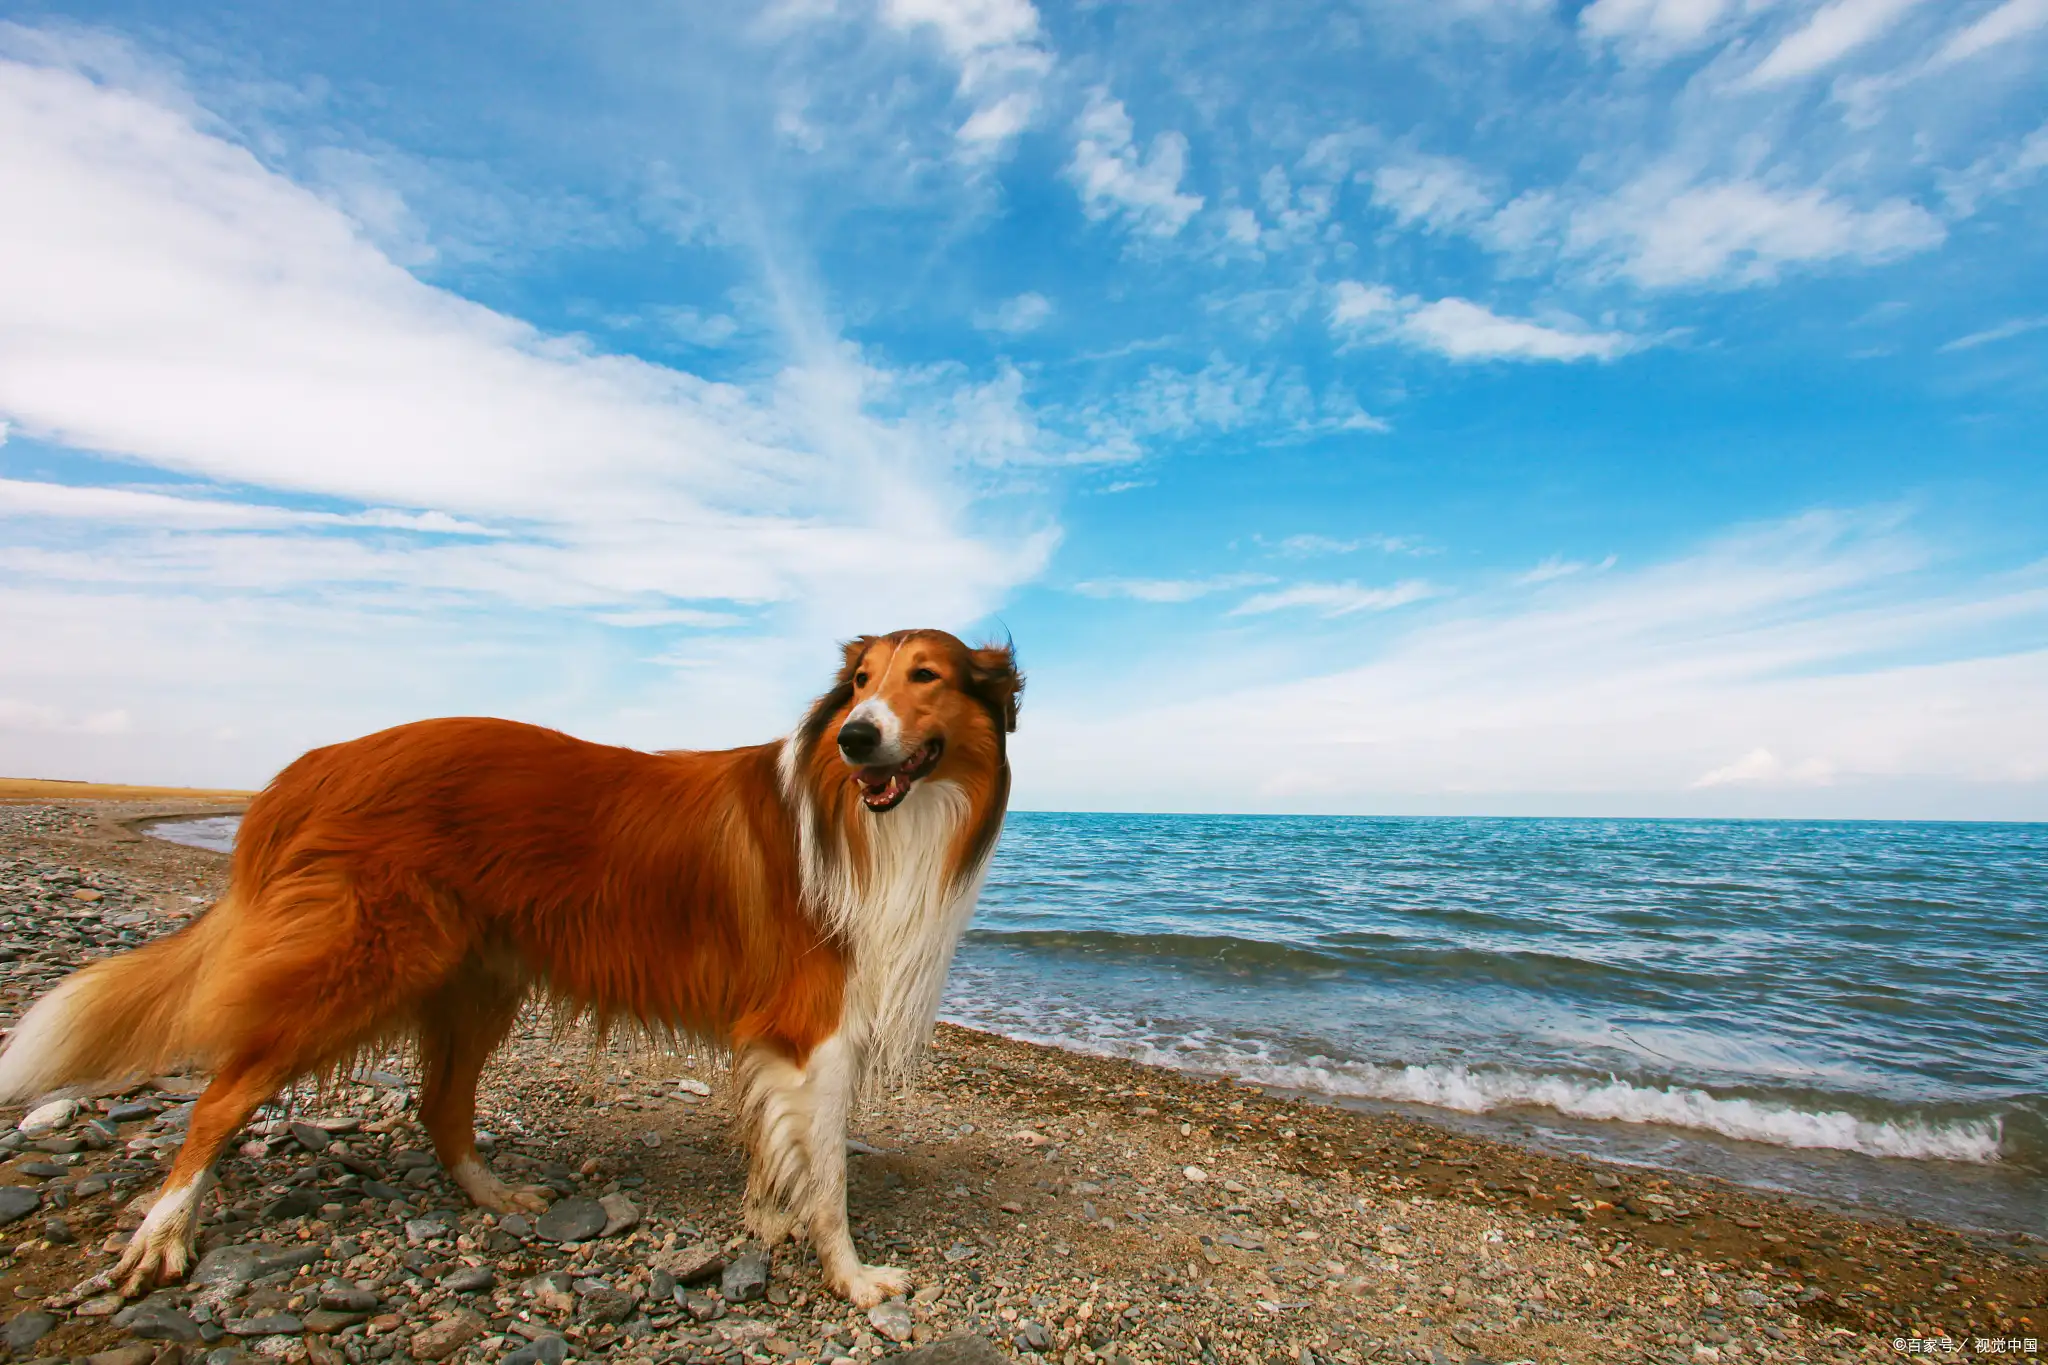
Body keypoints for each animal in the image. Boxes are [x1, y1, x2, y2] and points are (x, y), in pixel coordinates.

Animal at [0, 634, 1019, 1309]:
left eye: (925, 676)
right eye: (859, 683)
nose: (856, 737)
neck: (875, 820)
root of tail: (307, 767)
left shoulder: (778, 1042)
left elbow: (784, 1152)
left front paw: (773, 1220)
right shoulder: (817, 1032)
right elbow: (831, 1174)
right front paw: (853, 1275)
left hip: (475, 982)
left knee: (439, 1104)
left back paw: (497, 1196)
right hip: (356, 969)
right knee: (219, 1098)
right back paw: (164, 1232)